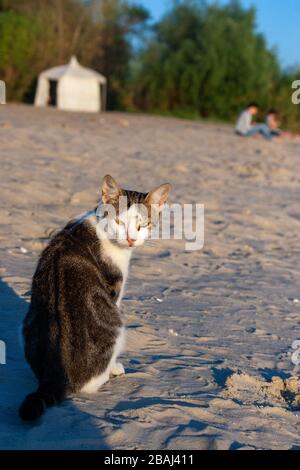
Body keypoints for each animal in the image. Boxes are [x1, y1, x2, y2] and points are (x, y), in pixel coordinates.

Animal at [18, 174, 171, 420]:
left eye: (142, 225)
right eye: (119, 222)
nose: (131, 239)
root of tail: (55, 377)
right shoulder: (114, 290)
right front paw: (115, 367)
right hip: (115, 324)